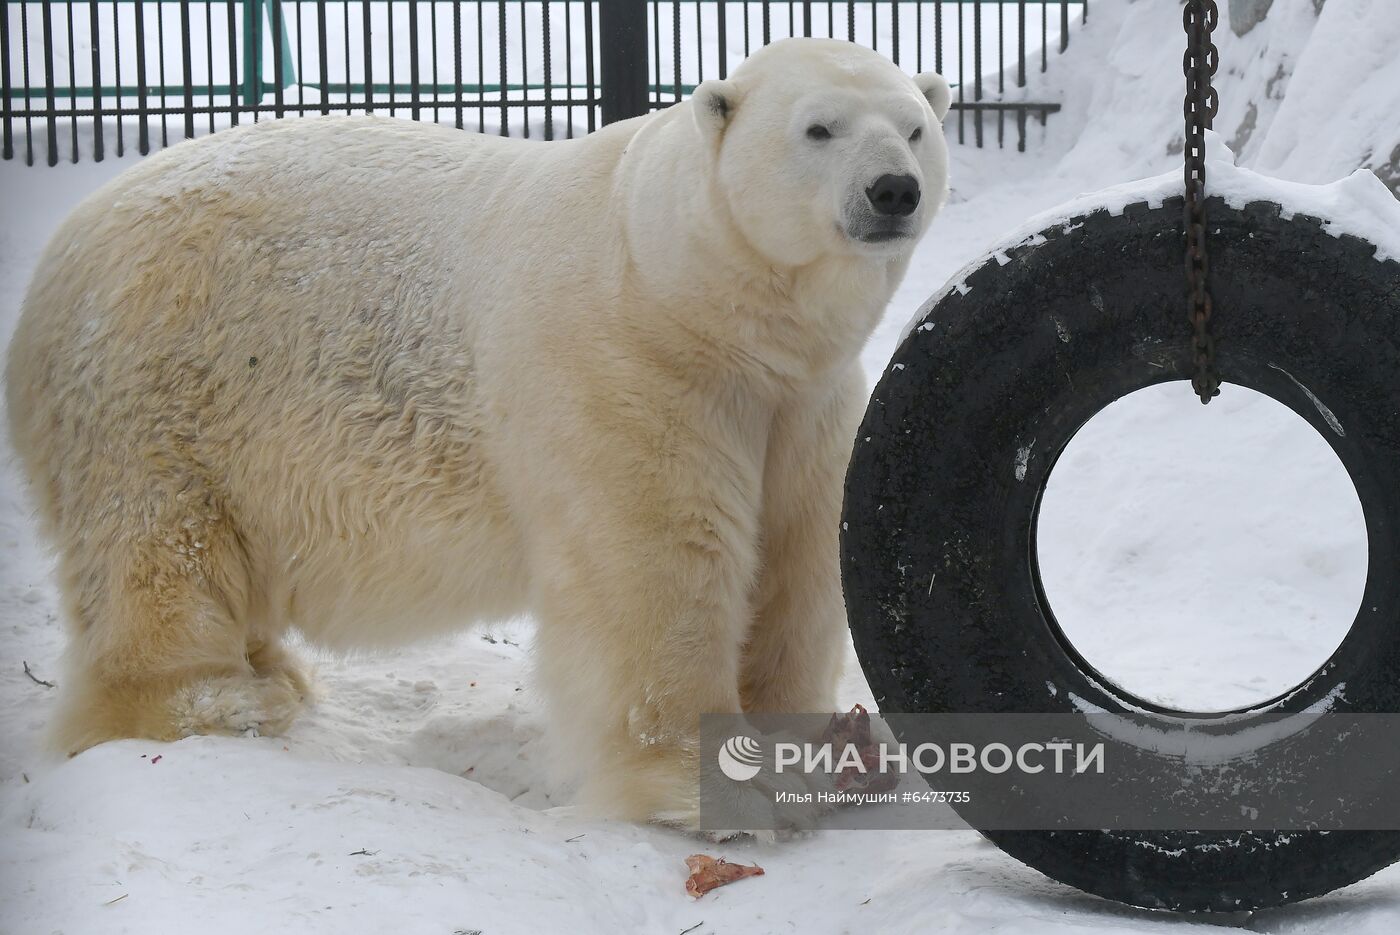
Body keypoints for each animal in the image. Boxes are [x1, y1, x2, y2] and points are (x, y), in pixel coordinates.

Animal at [5, 38, 952, 823]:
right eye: (819, 128)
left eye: (915, 126)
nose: (893, 189)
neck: (685, 287)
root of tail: (57, 256)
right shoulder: (627, 369)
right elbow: (659, 566)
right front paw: (704, 787)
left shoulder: (800, 399)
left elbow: (796, 552)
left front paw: (818, 751)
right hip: (155, 391)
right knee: (163, 557)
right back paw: (228, 697)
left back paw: (270, 668)